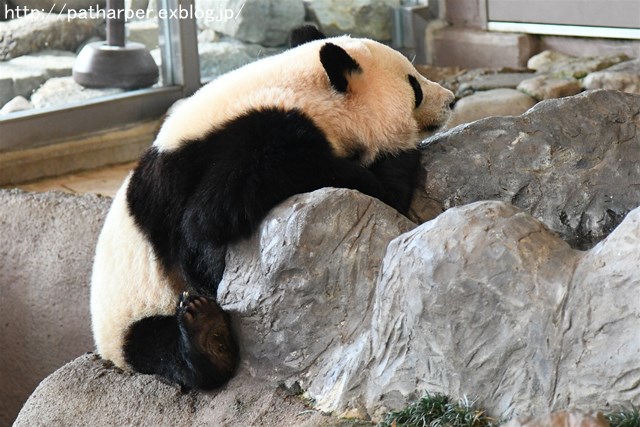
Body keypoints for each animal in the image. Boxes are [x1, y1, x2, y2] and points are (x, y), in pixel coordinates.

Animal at [92, 25, 456, 392]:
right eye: (414, 86)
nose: (451, 99)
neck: (301, 90)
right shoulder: (252, 137)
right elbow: (208, 221)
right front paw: (392, 161)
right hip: (134, 312)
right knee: (158, 345)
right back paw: (206, 338)